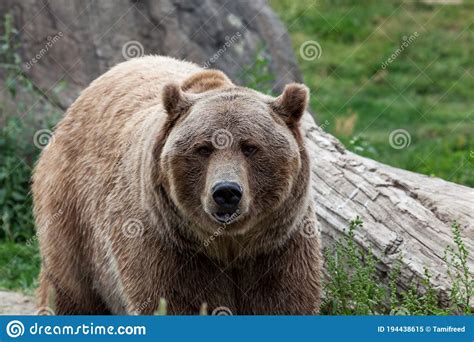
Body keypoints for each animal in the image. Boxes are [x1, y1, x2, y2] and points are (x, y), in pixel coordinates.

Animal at [32, 56, 322, 316]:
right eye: (203, 148)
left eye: (250, 147)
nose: (226, 192)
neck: (228, 246)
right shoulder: (168, 246)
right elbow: (171, 302)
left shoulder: (276, 247)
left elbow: (285, 302)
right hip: (72, 215)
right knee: (71, 293)